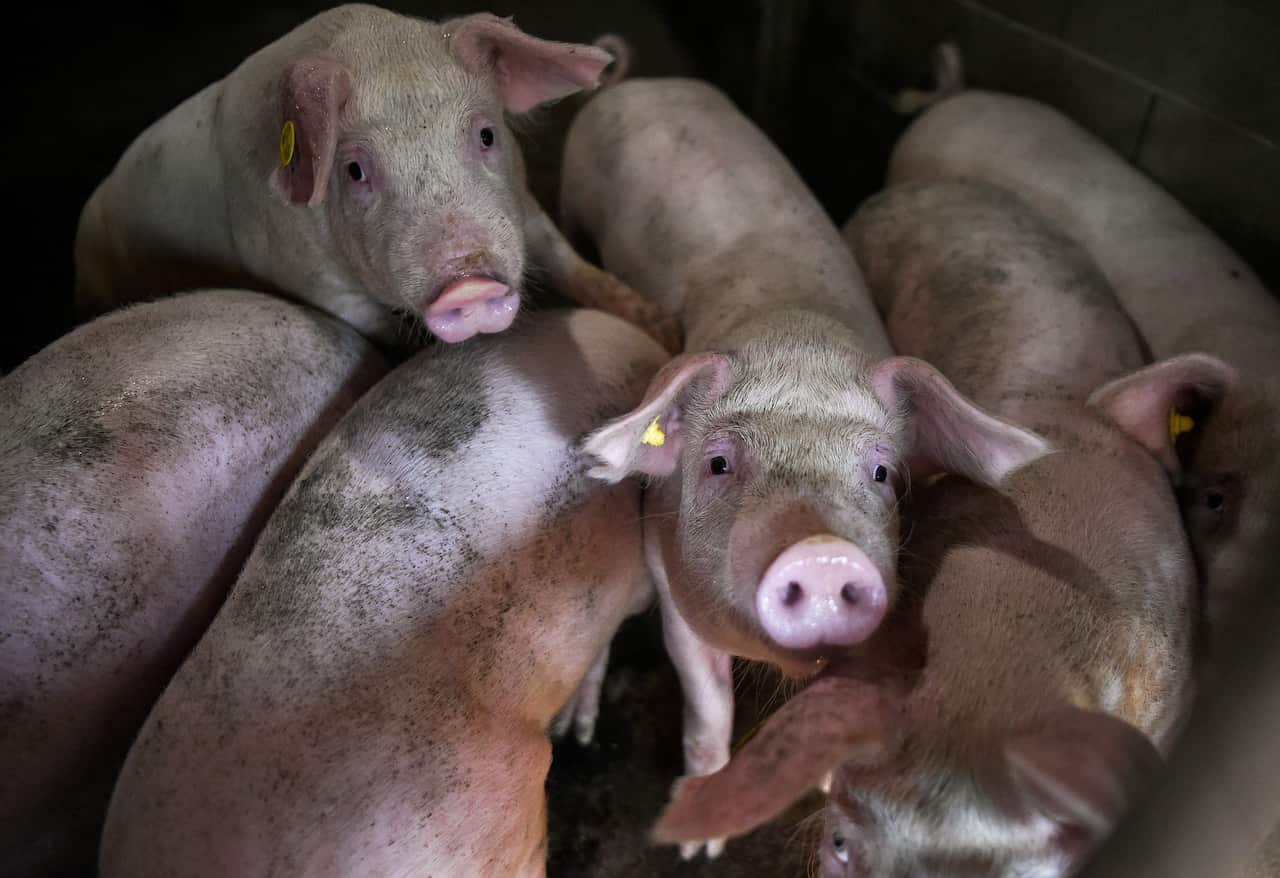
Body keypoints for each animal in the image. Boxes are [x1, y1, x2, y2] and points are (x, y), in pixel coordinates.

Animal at [73, 4, 676, 350]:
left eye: (486, 135)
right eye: (355, 169)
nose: (469, 280)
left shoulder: (524, 205)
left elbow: (574, 265)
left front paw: (660, 329)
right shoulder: (314, 283)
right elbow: (374, 324)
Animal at [560, 77, 1051, 858]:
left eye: (881, 473)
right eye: (719, 463)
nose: (822, 554)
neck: (795, 341)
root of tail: (641, 80)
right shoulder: (671, 579)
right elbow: (707, 703)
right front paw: (698, 847)